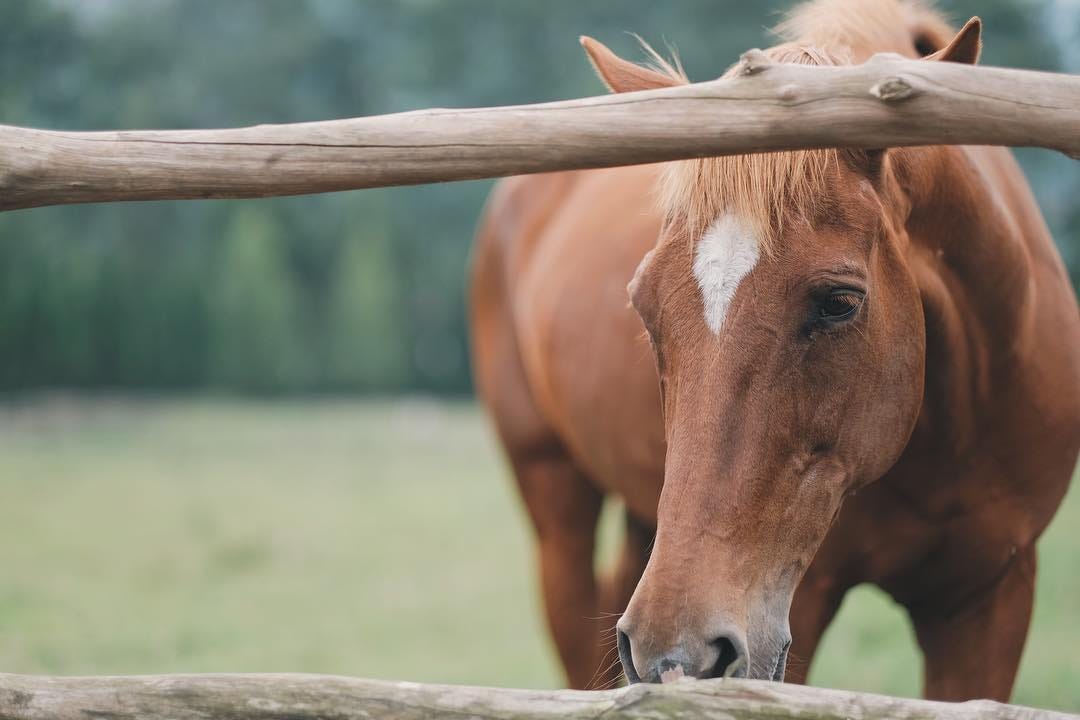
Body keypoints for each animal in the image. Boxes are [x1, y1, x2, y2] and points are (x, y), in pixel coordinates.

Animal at [470, 0, 1080, 699]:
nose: (675, 651)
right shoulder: (800, 606)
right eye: (644, 308)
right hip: (556, 503)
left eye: (839, 302)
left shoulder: (991, 595)